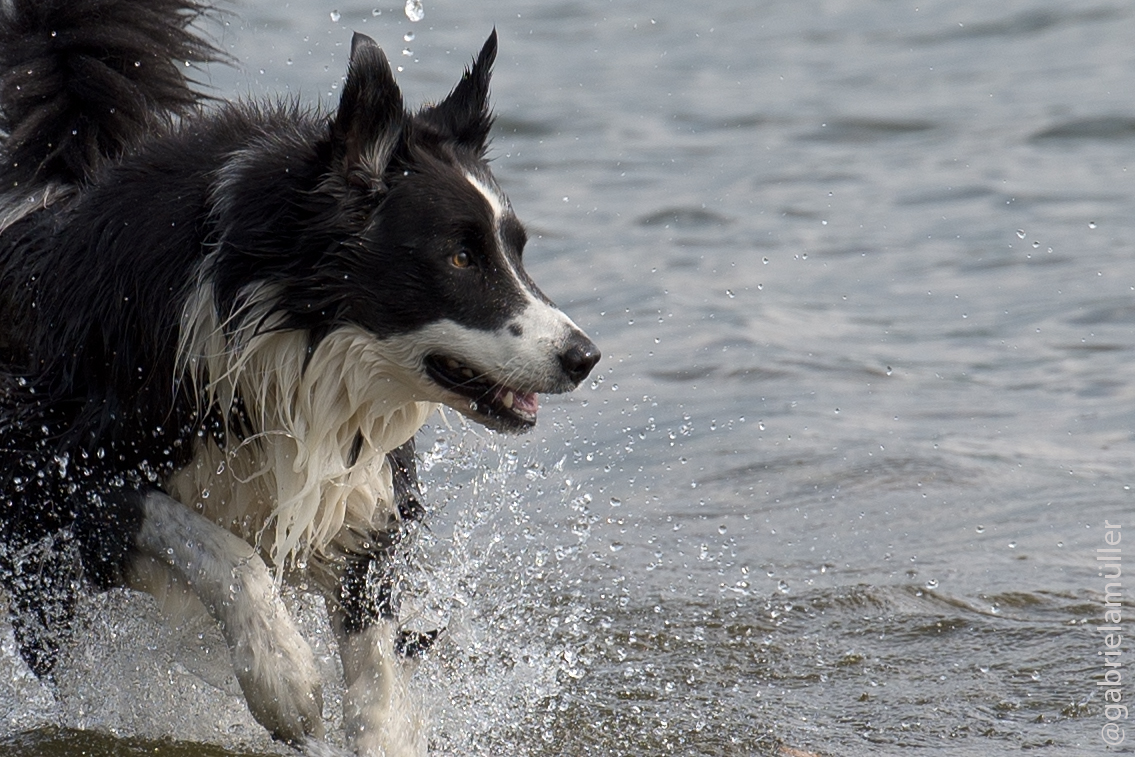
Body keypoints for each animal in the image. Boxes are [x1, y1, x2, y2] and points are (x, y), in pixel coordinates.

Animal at [0, 2, 599, 753]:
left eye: (516, 249)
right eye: (460, 257)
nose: (584, 356)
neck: (288, 333)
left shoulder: (363, 491)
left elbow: (375, 669)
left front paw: (376, 729)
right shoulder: (52, 475)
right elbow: (219, 549)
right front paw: (285, 681)